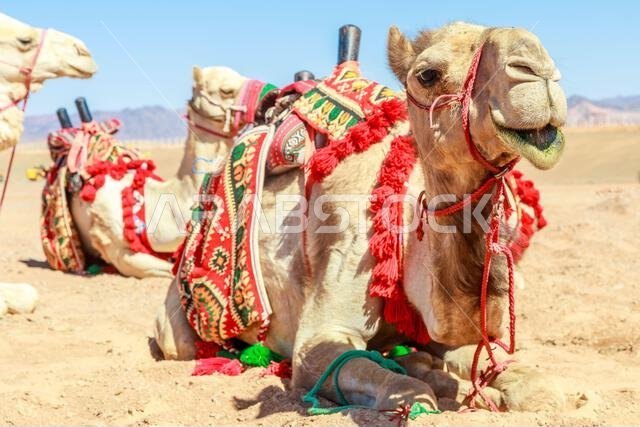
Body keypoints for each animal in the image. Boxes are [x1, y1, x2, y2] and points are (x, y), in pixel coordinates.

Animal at [154, 22, 568, 412]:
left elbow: (525, 377)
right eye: (427, 74)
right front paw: (430, 384)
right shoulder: (327, 313)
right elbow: (402, 388)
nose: (539, 70)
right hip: (178, 324)